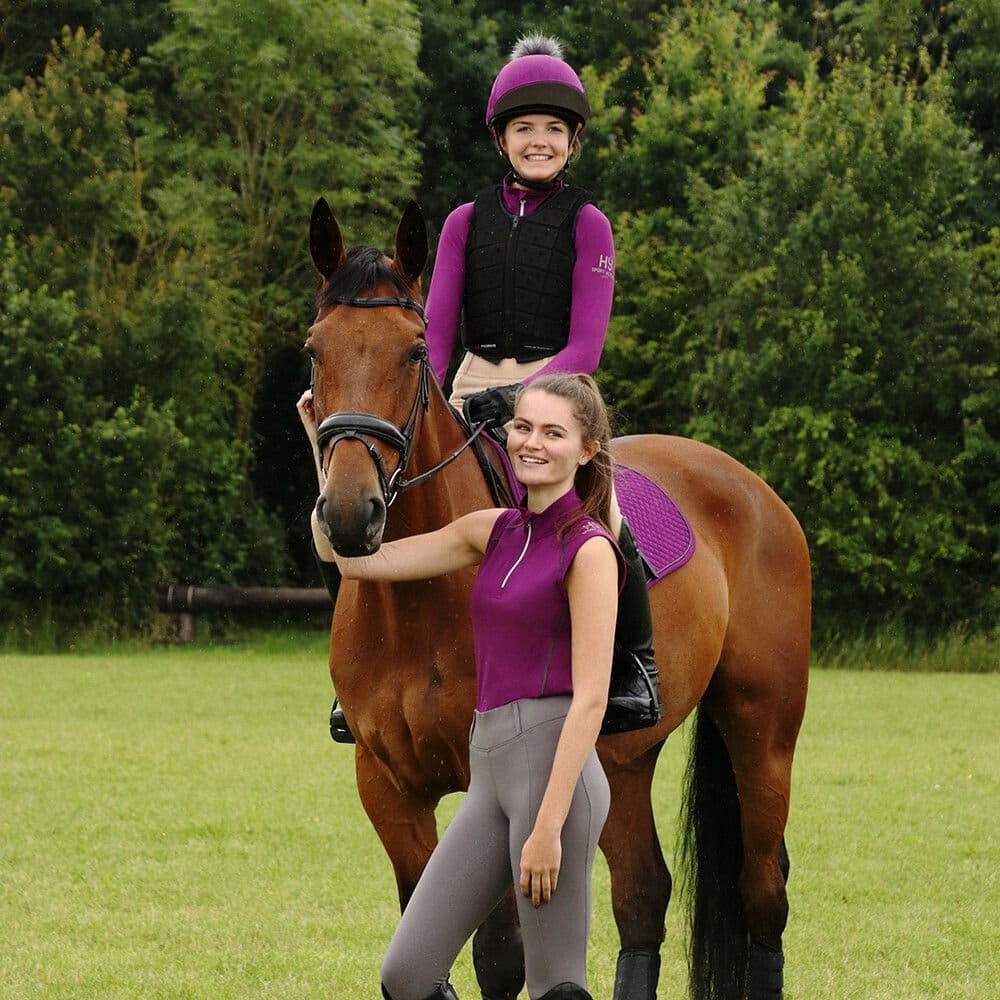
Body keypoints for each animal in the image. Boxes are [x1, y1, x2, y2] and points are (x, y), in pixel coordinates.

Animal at [304, 197, 810, 1000]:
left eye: (413, 354)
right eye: (314, 350)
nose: (351, 515)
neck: (417, 608)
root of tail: (750, 487)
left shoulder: (506, 788)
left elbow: (500, 959)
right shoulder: (386, 787)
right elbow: (424, 941)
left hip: (762, 731)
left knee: (762, 891)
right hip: (621, 764)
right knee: (643, 896)